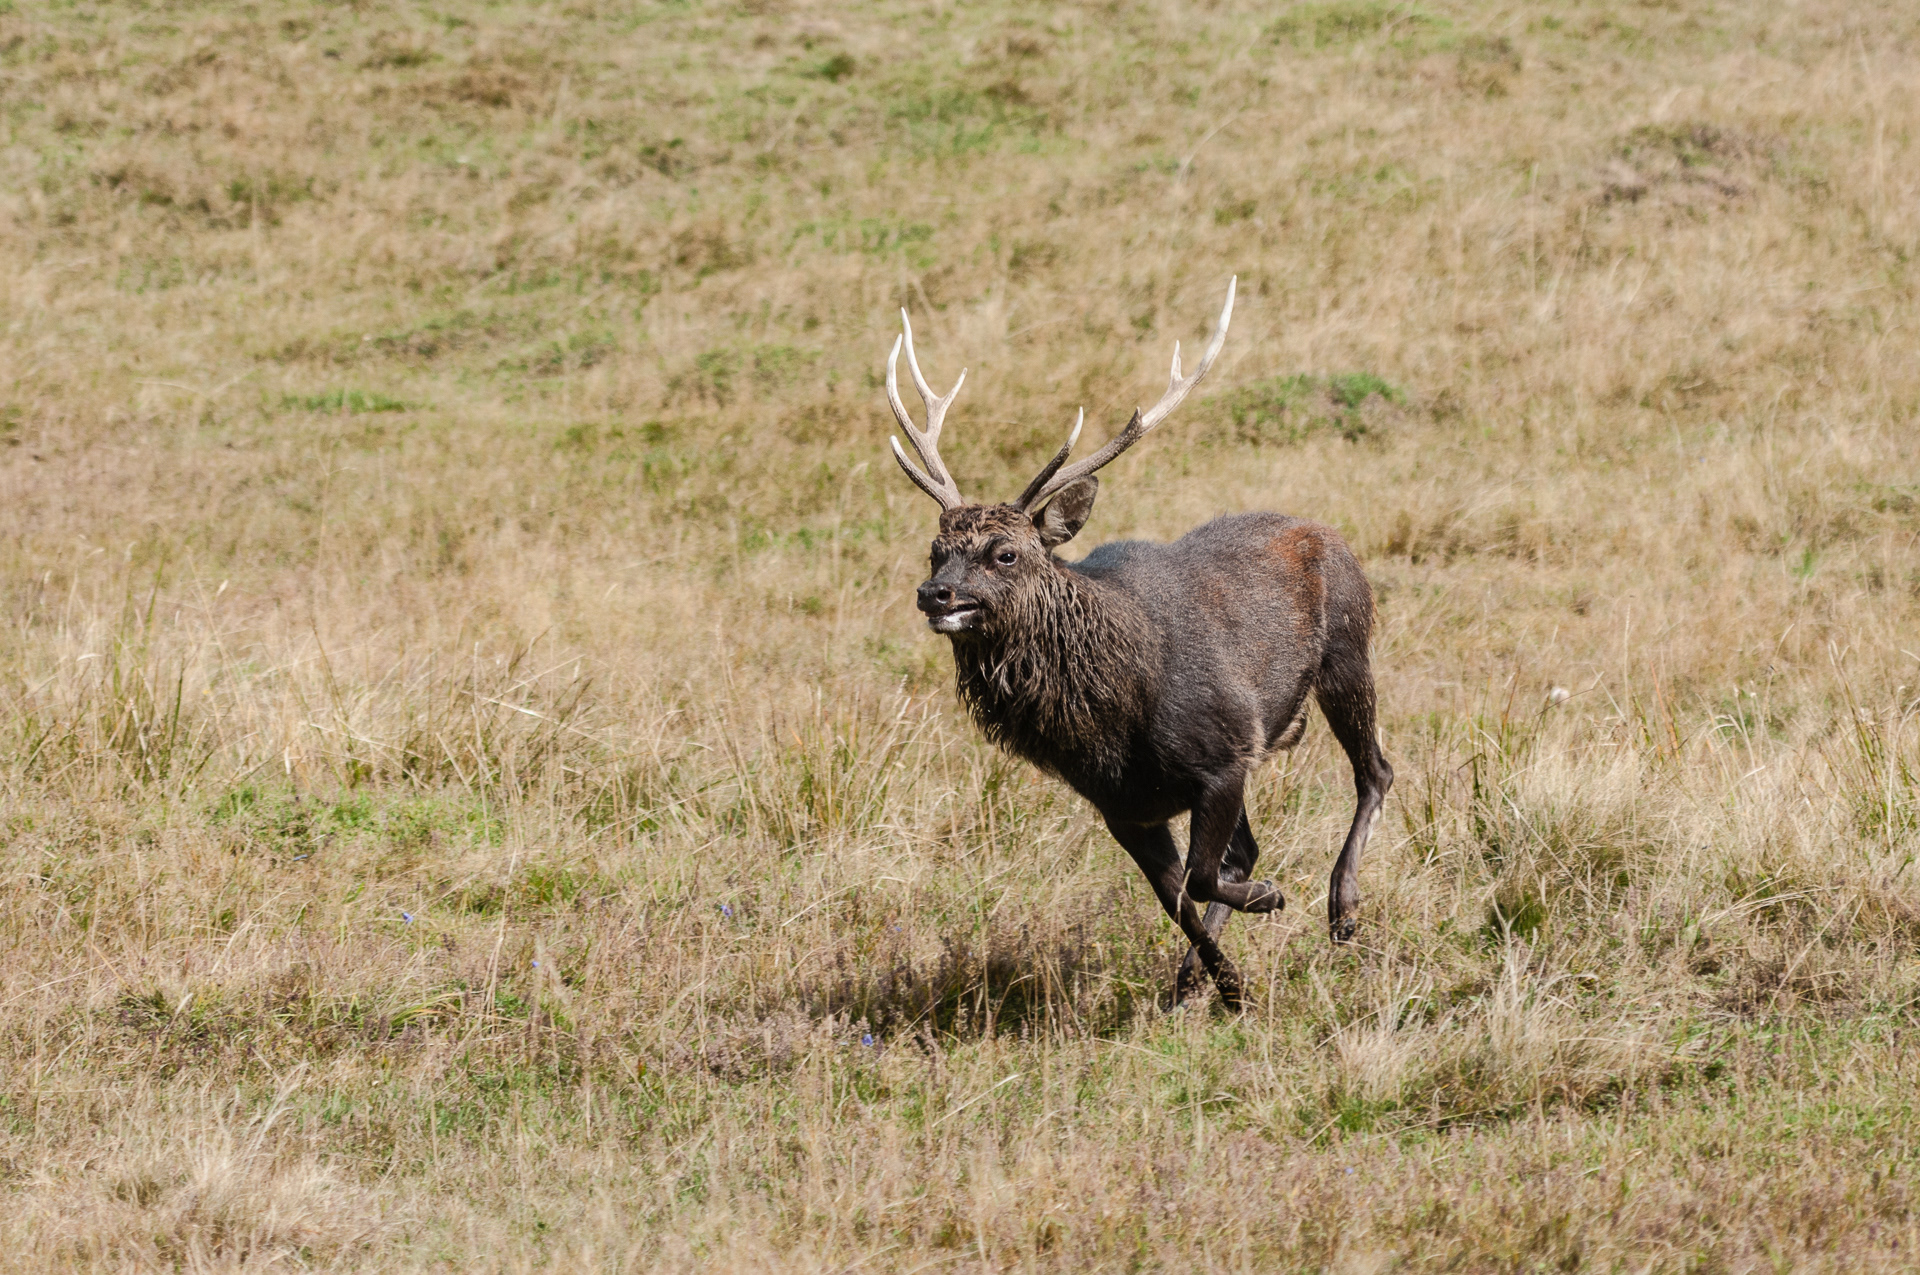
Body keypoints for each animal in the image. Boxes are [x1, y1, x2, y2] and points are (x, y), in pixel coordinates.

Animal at [883, 276, 1397, 1006]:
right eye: (935, 549)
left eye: (1005, 552)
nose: (936, 595)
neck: (1112, 721)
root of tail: (1330, 533)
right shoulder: (1123, 808)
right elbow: (1180, 896)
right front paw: (1226, 986)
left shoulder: (1223, 756)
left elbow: (1203, 879)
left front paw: (1268, 902)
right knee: (1248, 847)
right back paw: (1196, 977)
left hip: (1349, 651)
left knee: (1375, 770)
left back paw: (1342, 910)